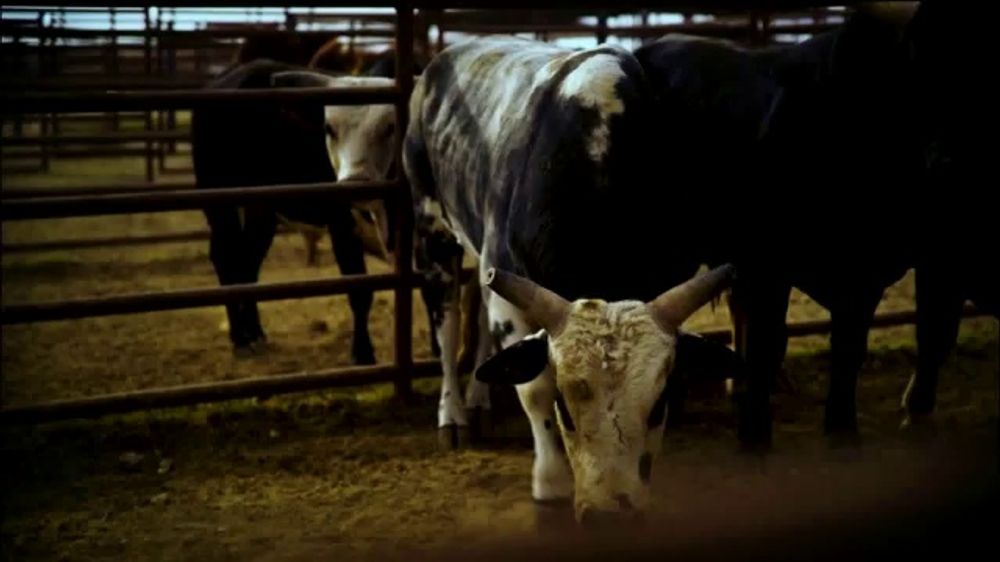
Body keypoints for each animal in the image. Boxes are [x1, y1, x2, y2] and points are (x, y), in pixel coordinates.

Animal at [403, 36, 744, 524]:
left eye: (658, 404)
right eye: (567, 406)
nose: (611, 513)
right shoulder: (510, 295)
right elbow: (535, 388)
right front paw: (550, 481)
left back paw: (479, 398)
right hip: (432, 231)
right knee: (446, 321)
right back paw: (452, 413)